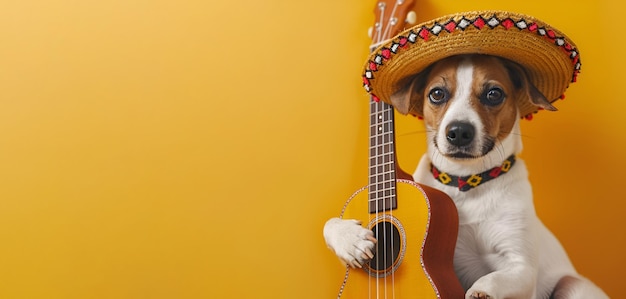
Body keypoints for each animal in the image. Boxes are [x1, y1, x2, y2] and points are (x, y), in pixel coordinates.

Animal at [324, 54, 608, 299]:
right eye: (437, 93)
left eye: (494, 94)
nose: (459, 131)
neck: (466, 183)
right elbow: (329, 223)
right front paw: (350, 239)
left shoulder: (522, 267)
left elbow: (496, 278)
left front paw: (481, 291)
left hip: (573, 285)